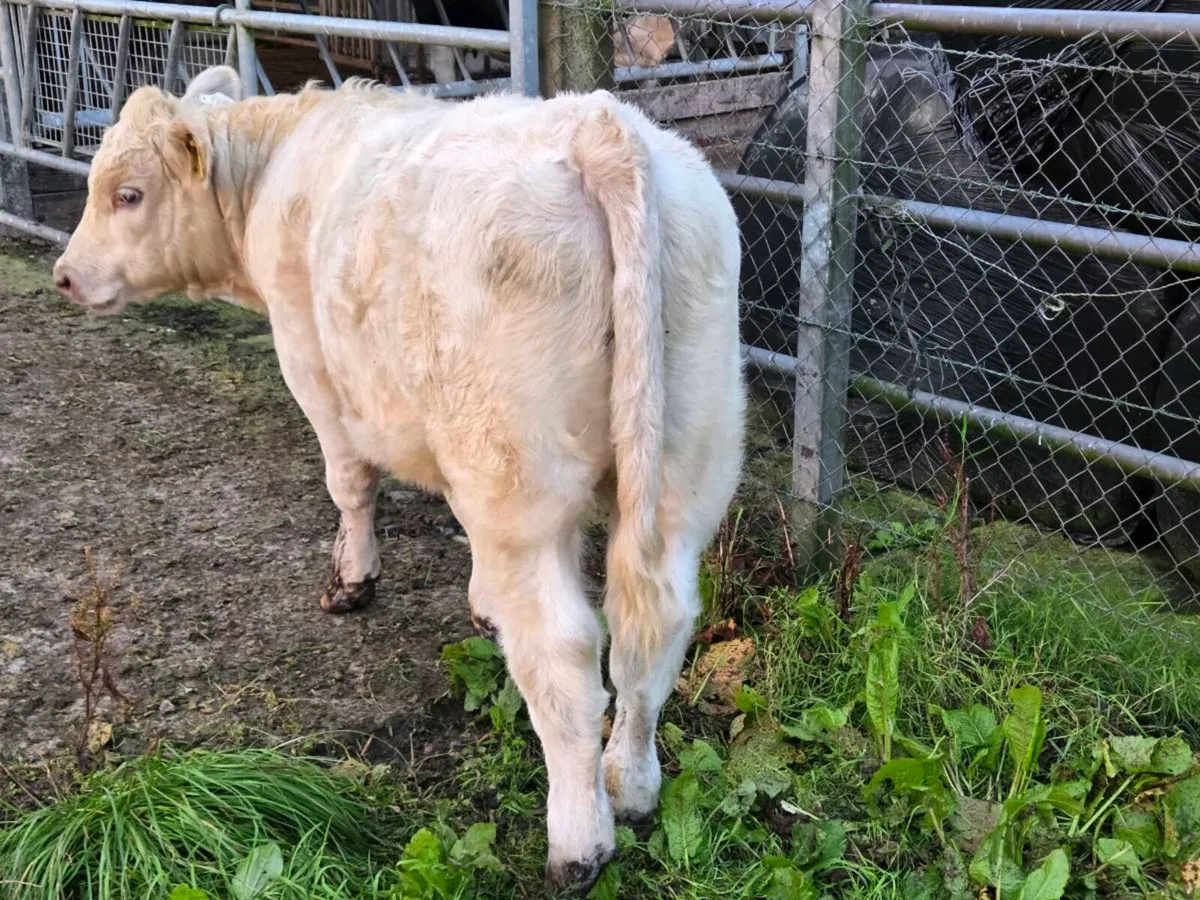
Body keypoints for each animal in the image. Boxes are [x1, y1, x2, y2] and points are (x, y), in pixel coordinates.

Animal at [52, 66, 745, 894]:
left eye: (127, 193)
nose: (64, 276)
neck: (277, 163)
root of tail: (599, 126)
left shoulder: (312, 367)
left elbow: (348, 482)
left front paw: (352, 581)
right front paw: (481, 604)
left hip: (519, 476)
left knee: (565, 653)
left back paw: (578, 842)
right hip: (684, 460)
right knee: (656, 624)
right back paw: (632, 784)